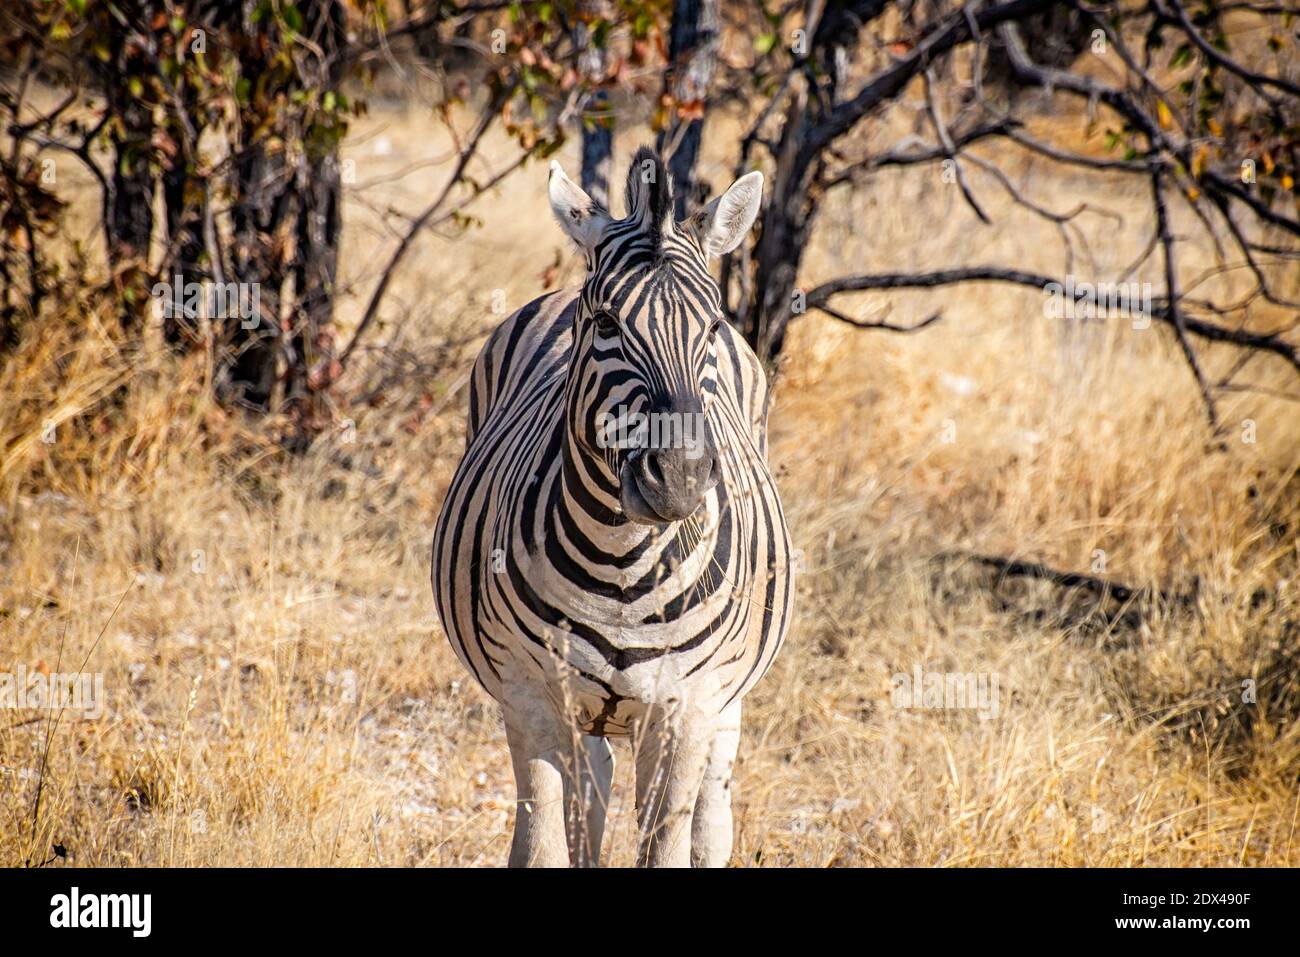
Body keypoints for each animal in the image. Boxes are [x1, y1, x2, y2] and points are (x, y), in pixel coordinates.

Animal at [431, 146, 794, 867]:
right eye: (606, 323)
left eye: (713, 327)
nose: (679, 479)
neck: (621, 562)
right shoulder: (532, 697)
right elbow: (547, 844)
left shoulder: (687, 707)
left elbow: (668, 847)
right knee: (586, 801)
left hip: (726, 700)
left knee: (711, 817)